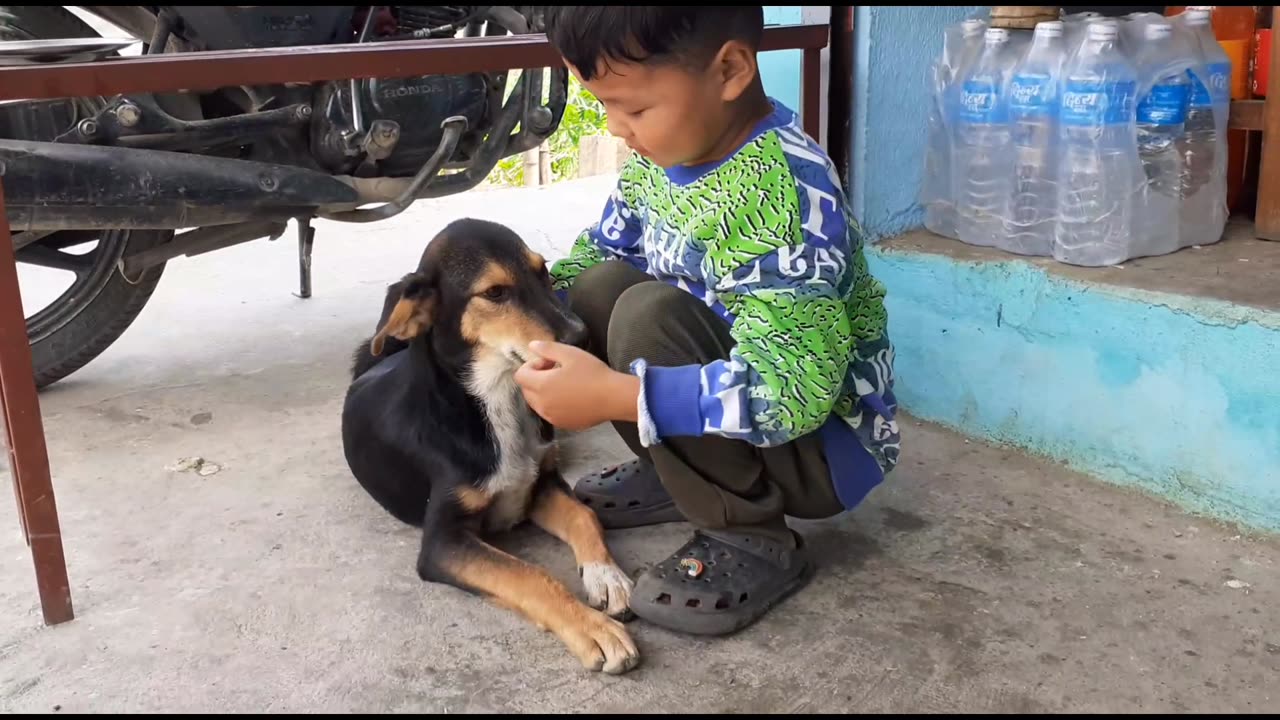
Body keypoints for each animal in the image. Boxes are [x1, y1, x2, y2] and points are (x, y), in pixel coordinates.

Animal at [343, 219, 637, 671]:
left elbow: (584, 515)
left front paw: (606, 576)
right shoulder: (443, 542)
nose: (583, 337)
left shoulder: (538, 487)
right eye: (495, 292)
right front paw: (593, 629)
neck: (499, 403)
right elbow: (529, 574)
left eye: (542, 270)